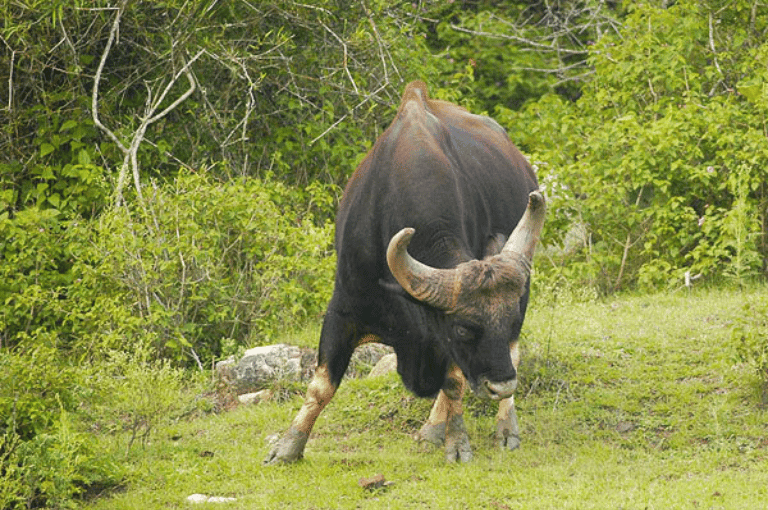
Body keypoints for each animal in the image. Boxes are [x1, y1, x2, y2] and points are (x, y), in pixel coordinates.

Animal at [268, 78, 544, 462]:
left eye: (511, 320)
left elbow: (454, 381)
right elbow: (322, 385)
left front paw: (457, 443)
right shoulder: (342, 310)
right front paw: (288, 446)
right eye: (463, 329)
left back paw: (499, 427)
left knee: (504, 357)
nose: (502, 385)